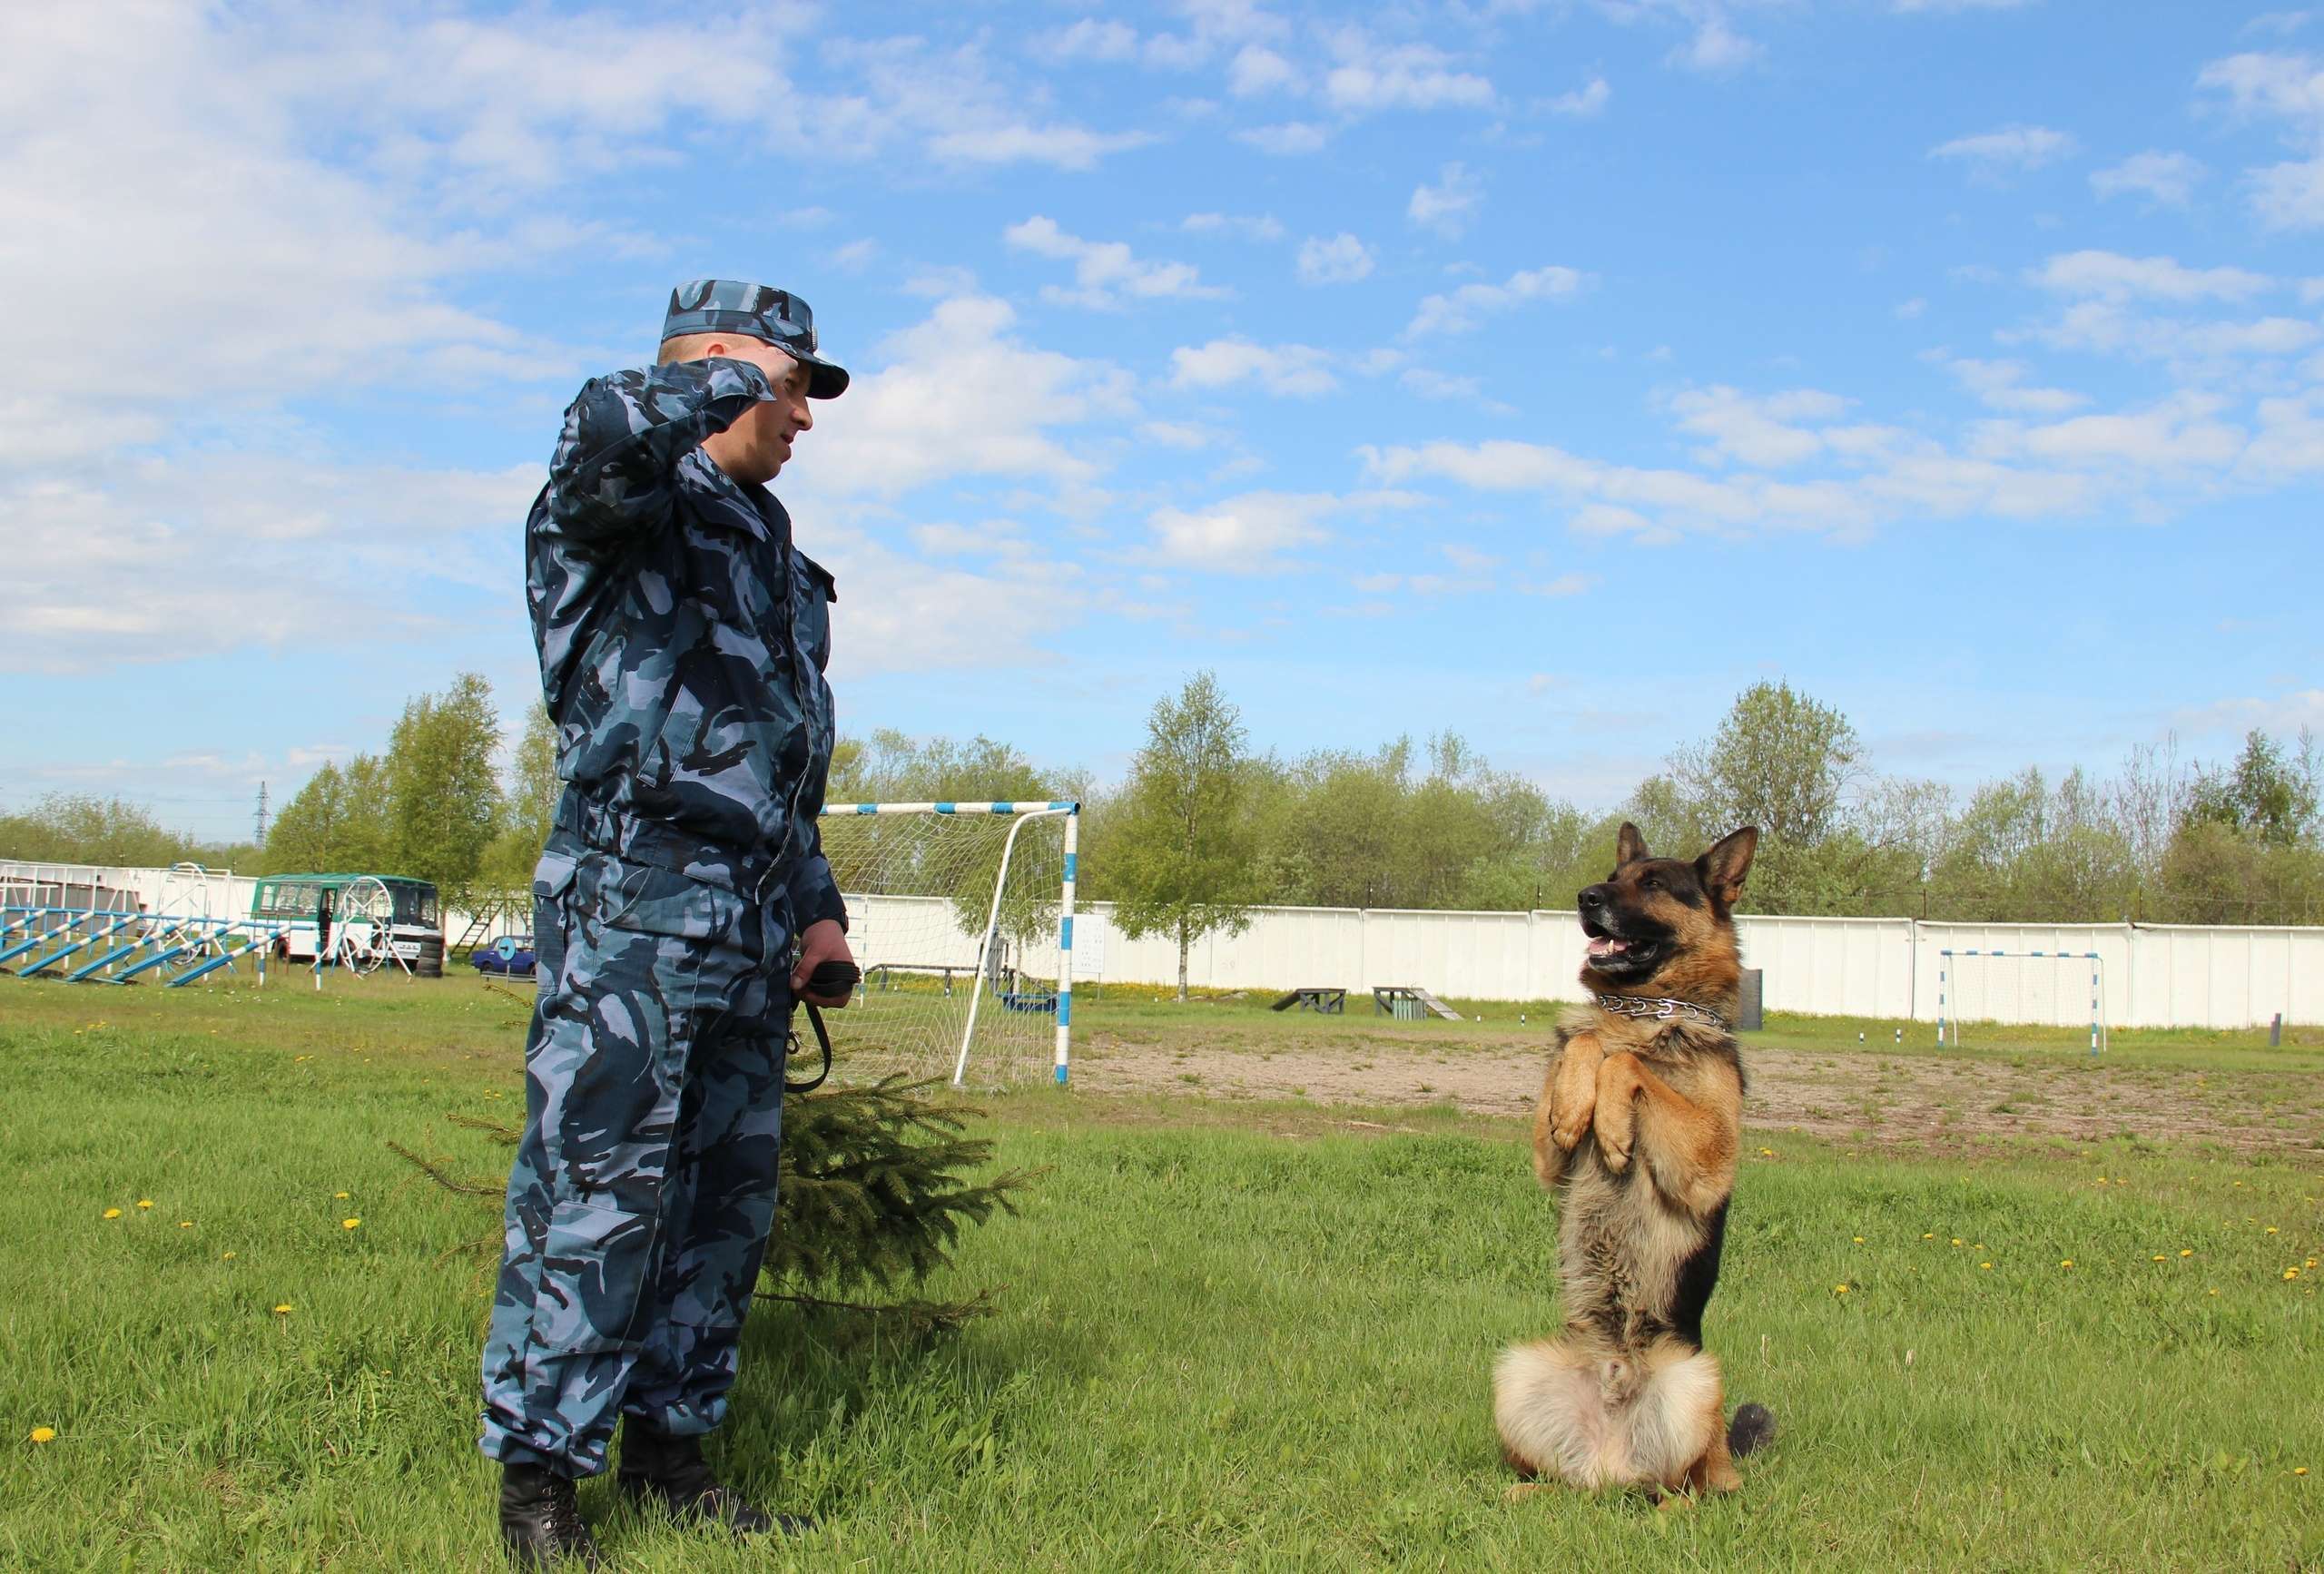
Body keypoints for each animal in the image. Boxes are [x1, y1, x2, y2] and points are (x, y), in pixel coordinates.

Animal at [1496, 822, 1766, 1497]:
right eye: (1613, 878)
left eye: (1653, 884)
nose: (1586, 897)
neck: (1646, 1010)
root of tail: (1612, 1458)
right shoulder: (1550, 1163)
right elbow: (1588, 1040)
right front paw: (1576, 1107)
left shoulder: (1708, 1161)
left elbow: (1627, 1062)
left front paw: (1615, 1125)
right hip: (1517, 1367)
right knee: (1566, 1480)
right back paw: (1521, 1491)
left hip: (1698, 1380)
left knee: (1689, 1489)